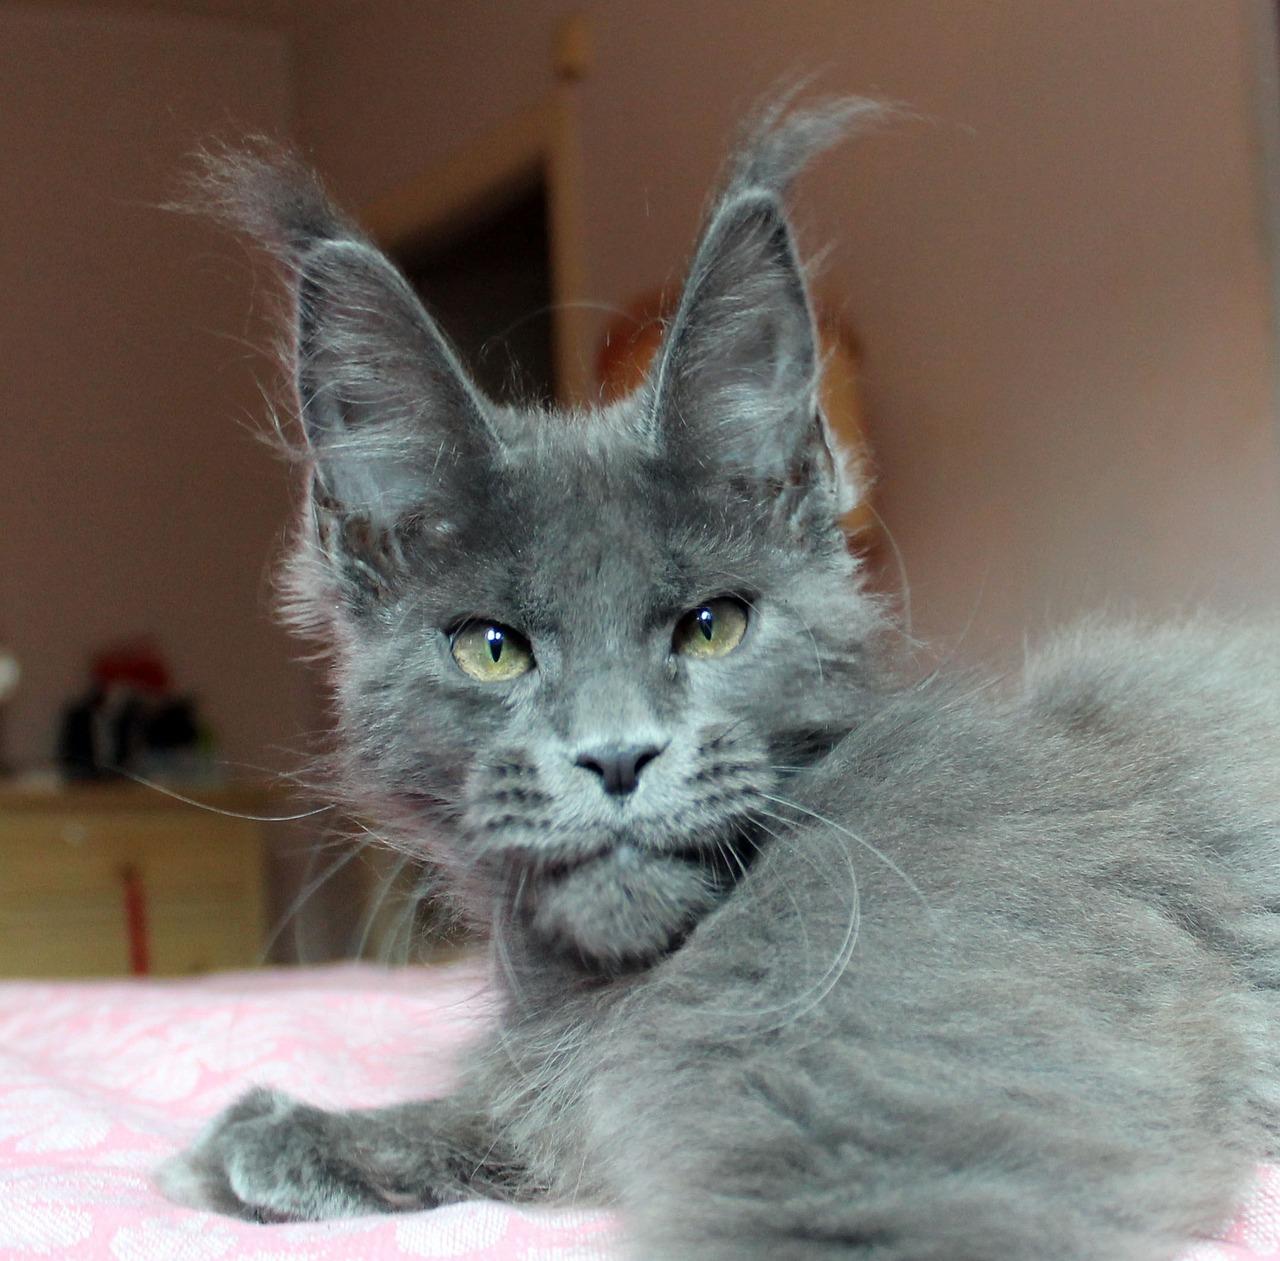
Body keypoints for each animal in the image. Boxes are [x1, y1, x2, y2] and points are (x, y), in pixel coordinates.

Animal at [157, 101, 1280, 1259]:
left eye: (711, 627)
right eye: (491, 647)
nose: (616, 755)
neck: (614, 986)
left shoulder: (902, 1127)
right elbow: (507, 1117)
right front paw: (280, 1140)